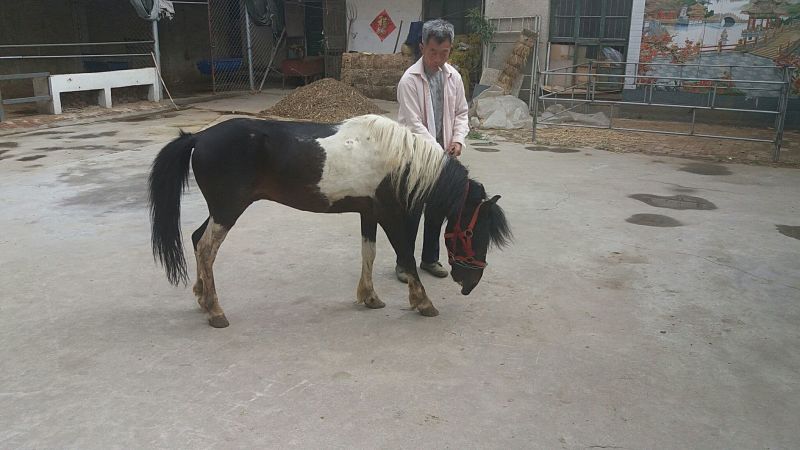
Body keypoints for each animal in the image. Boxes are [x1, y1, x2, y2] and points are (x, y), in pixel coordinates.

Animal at [148, 114, 510, 328]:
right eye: (474, 233)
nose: (470, 284)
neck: (402, 159)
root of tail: (198, 137)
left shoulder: (369, 214)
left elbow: (369, 252)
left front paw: (369, 297)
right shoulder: (391, 215)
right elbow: (406, 255)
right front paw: (423, 302)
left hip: (221, 210)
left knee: (197, 240)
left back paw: (201, 298)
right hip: (228, 211)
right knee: (206, 249)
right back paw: (215, 311)